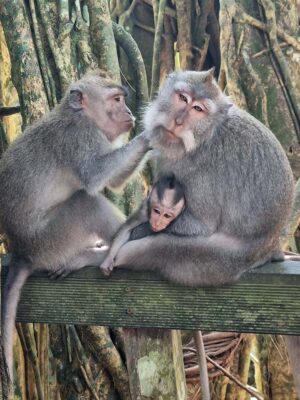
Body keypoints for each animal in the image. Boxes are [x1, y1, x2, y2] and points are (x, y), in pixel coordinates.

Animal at [0, 70, 151, 380]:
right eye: (116, 99)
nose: (129, 112)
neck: (79, 115)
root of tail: (22, 252)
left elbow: (113, 182)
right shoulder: (80, 137)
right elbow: (94, 177)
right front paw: (156, 131)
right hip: (54, 239)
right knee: (85, 201)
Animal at [111, 69, 294, 288]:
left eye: (198, 109)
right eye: (183, 98)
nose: (178, 122)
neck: (204, 137)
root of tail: (270, 245)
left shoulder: (204, 173)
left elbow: (200, 225)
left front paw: (132, 231)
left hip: (223, 261)